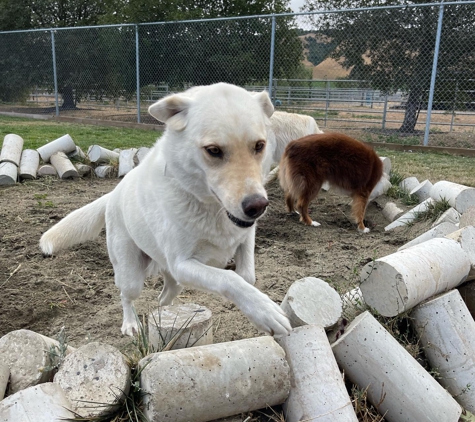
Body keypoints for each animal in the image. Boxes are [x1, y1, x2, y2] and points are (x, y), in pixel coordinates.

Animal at [41, 84, 292, 338]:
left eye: (259, 146)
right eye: (213, 150)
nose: (257, 206)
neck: (210, 208)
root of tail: (113, 193)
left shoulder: (243, 238)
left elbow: (247, 276)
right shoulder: (182, 264)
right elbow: (229, 278)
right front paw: (265, 312)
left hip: (171, 275)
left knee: (165, 295)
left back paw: (168, 314)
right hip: (133, 276)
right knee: (126, 296)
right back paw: (130, 324)